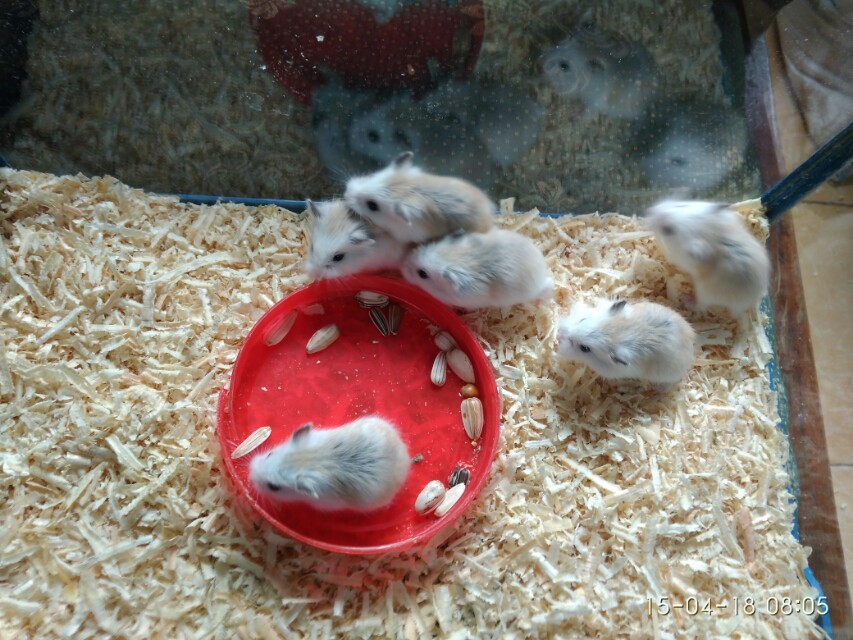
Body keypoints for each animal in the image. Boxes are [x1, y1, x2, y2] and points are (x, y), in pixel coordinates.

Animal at [401, 229, 554, 310]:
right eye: (425, 247)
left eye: (422, 274)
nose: (403, 265)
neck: (454, 258)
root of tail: (542, 267)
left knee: (549, 284)